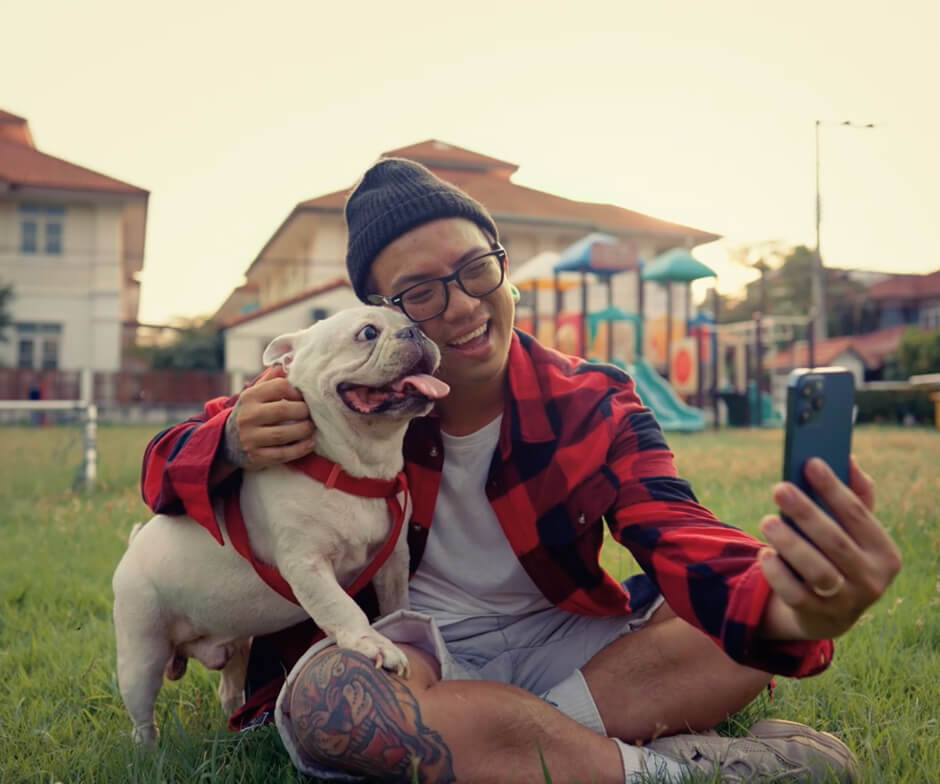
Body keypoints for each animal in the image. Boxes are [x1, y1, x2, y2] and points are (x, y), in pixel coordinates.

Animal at [112, 306, 450, 740]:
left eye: (410, 320)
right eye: (368, 333)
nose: (415, 331)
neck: (351, 467)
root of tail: (132, 548)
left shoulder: (392, 560)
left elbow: (395, 605)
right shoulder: (307, 566)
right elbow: (342, 607)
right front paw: (371, 644)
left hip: (234, 643)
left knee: (229, 688)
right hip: (141, 652)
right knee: (142, 713)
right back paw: (149, 750)